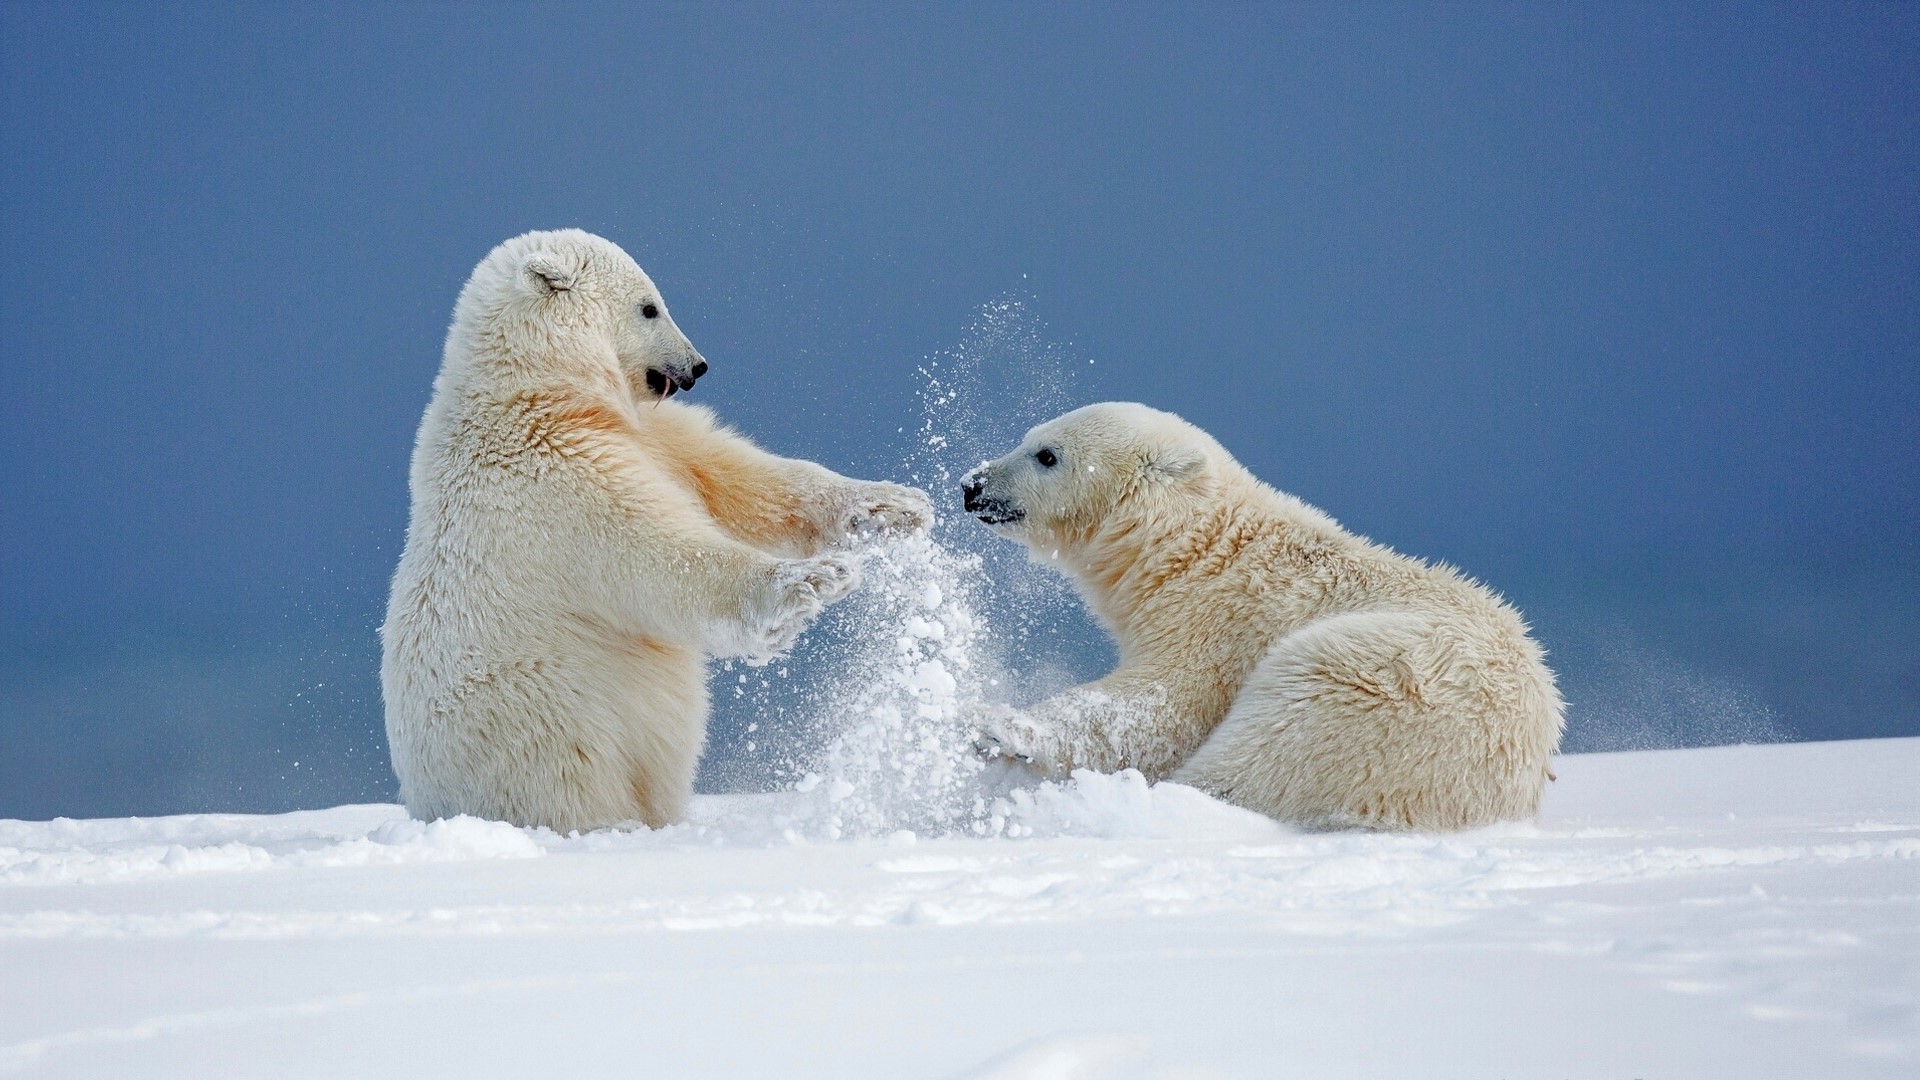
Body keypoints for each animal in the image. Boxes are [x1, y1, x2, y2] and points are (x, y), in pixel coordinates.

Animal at [378, 231, 933, 826]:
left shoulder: (654, 432)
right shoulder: (550, 478)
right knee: (575, 780)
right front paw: (809, 584)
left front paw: (893, 507)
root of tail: (425, 800)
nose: (699, 365)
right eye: (649, 307)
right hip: (538, 716)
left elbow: (741, 477)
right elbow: (655, 551)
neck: (534, 392)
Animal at [967, 399, 1566, 826]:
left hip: (1384, 681)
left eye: (1047, 454)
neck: (1191, 546)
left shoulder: (1216, 618)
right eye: (1027, 438)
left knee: (1272, 746)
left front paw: (1000, 727)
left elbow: (1161, 704)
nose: (972, 484)